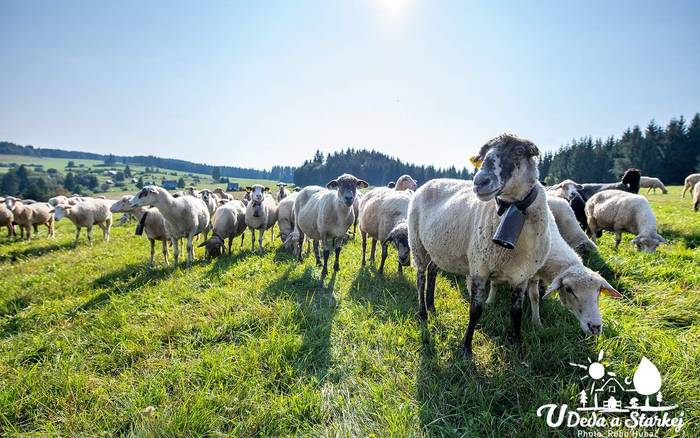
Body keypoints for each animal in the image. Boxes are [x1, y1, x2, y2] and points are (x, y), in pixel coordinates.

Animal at [408, 135, 548, 358]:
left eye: (519, 151)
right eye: (482, 155)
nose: (480, 181)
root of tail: (427, 183)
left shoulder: (522, 276)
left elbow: (516, 313)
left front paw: (517, 346)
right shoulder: (479, 268)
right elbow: (475, 310)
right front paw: (466, 348)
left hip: (439, 249)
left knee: (432, 271)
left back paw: (431, 305)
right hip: (417, 244)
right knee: (421, 276)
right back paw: (422, 312)